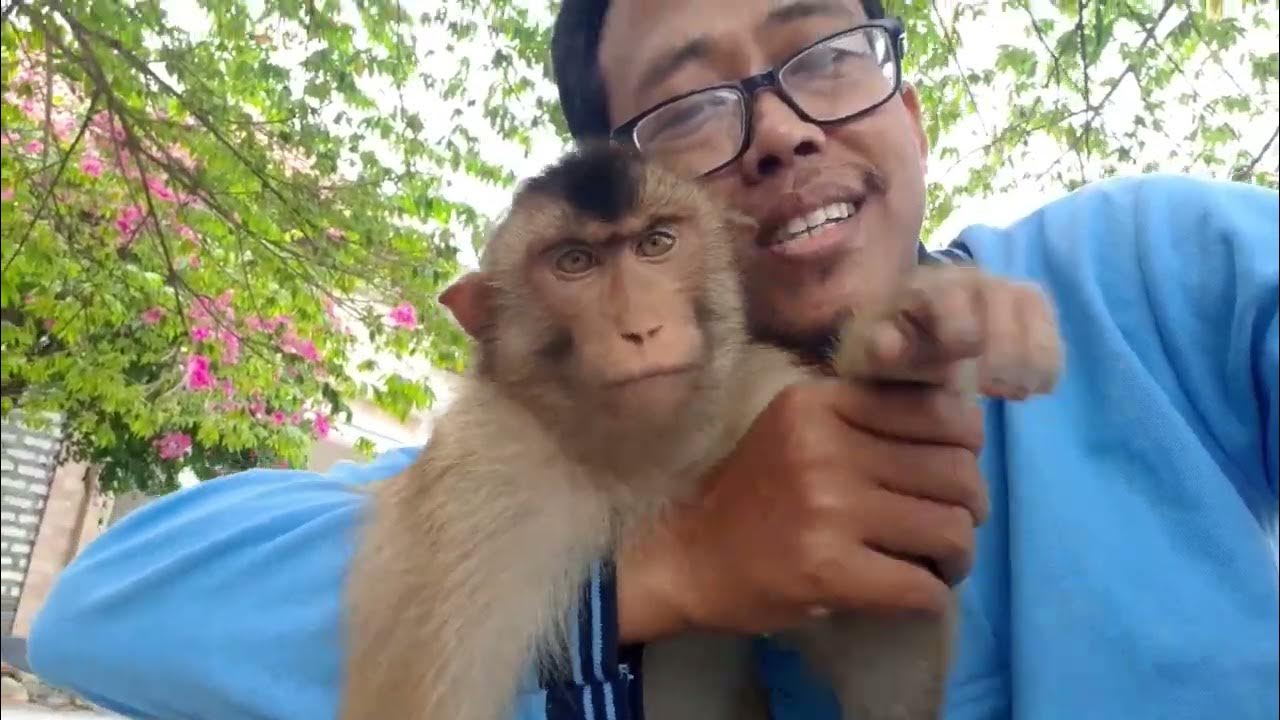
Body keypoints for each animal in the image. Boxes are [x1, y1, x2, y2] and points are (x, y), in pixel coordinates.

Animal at [340, 143, 1062, 720]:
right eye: (574, 262)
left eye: (657, 244)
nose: (640, 327)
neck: (640, 463)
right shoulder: (481, 486)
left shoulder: (754, 395)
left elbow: (883, 643)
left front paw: (916, 349)